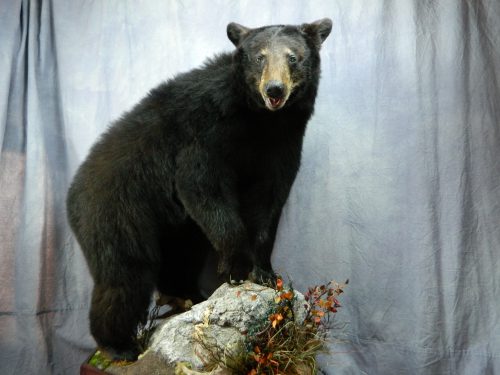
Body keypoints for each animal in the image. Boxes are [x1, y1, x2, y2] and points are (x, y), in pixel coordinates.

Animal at [66, 18, 332, 362]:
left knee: (181, 253)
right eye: (259, 57)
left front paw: (265, 272)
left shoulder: (281, 144)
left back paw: (187, 294)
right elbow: (202, 184)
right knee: (126, 273)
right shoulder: (205, 132)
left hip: (173, 224)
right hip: (116, 208)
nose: (274, 89)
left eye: (293, 57)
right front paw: (236, 265)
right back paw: (118, 344)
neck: (258, 119)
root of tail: (75, 189)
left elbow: (269, 200)